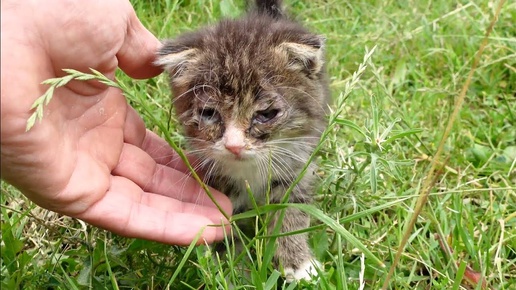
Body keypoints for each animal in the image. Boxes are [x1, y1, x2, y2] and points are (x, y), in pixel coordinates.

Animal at [155, 0, 328, 280]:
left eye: (266, 114)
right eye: (209, 113)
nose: (234, 145)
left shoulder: (296, 165)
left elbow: (291, 211)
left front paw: (298, 263)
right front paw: (235, 269)